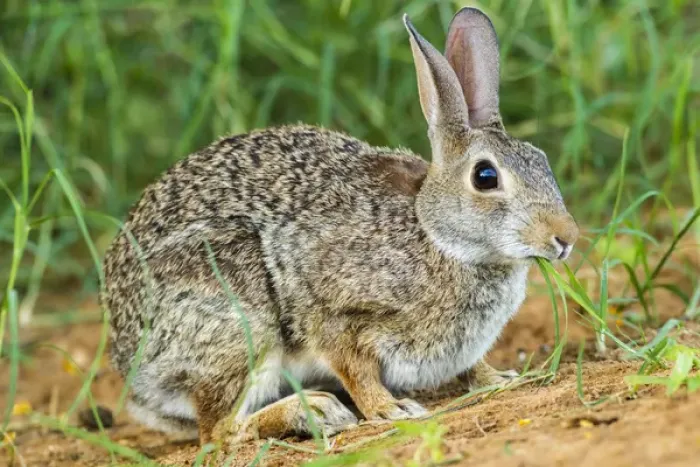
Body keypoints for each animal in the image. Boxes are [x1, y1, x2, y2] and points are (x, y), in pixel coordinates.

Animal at [101, 7, 579, 446]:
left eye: (541, 160)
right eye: (486, 176)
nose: (565, 238)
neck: (437, 235)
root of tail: (133, 370)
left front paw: (499, 379)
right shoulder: (336, 314)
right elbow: (356, 369)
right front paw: (391, 410)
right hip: (240, 320)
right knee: (218, 431)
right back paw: (311, 411)